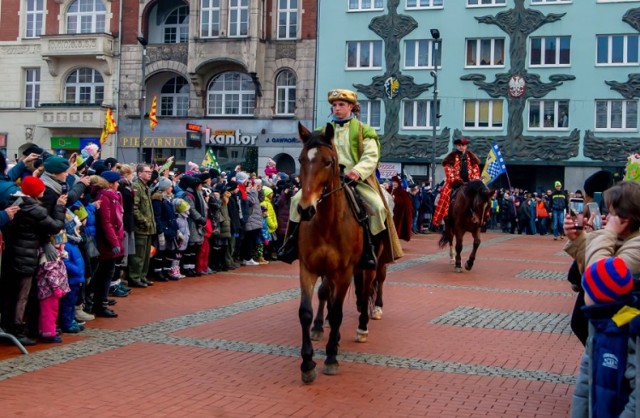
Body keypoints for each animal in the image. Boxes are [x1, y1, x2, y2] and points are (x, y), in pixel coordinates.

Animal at [296, 120, 382, 382]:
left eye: (328, 161)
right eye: (301, 159)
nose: (305, 209)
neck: (327, 223)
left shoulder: (344, 272)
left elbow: (336, 314)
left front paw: (331, 358)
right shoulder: (308, 268)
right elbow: (306, 311)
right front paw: (307, 363)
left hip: (370, 267)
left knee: (365, 291)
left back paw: (362, 328)